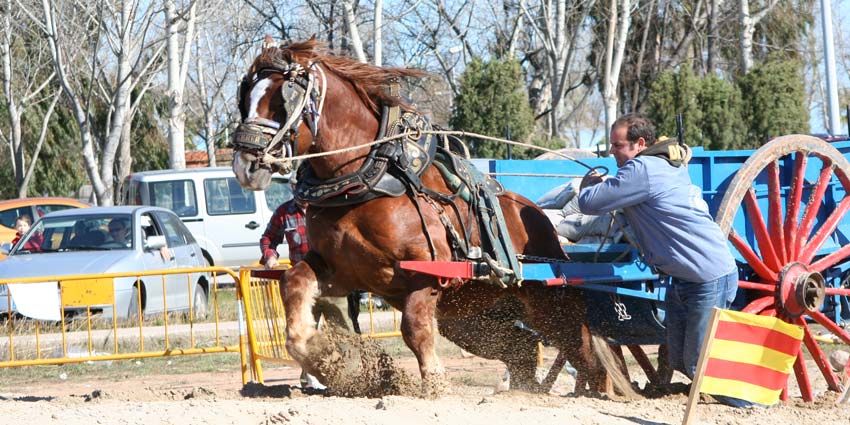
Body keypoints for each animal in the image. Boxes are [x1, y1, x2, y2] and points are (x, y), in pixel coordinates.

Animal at [230, 38, 628, 396]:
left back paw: (603, 393)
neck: (365, 184)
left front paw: (434, 385)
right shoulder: (341, 272)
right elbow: (294, 285)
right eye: (245, 97)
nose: (245, 164)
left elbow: (415, 331)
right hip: (474, 319)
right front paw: (328, 356)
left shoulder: (426, 276)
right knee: (523, 350)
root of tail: (535, 215)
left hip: (548, 304)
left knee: (585, 351)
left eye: (281, 100)